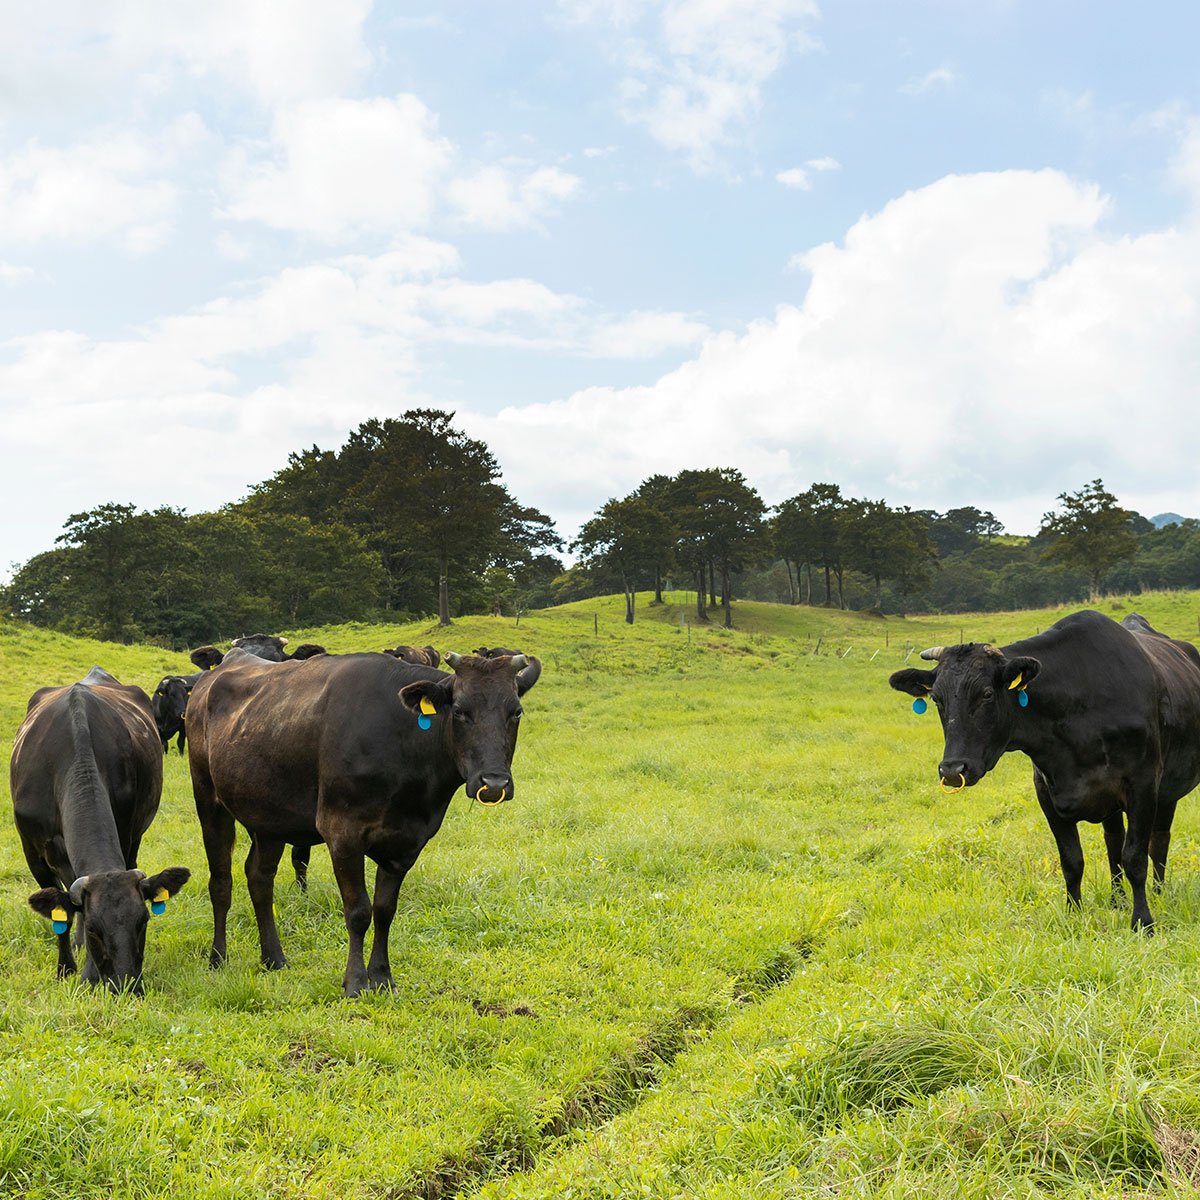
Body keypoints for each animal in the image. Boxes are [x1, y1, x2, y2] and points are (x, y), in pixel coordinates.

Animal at [10, 667, 190, 993]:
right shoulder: (32, 851)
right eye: (95, 929)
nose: (125, 985)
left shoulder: (127, 830)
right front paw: (67, 968)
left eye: (143, 921)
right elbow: (63, 915)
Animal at [888, 609, 1200, 926]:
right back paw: (1117, 900)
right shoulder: (1047, 792)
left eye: (986, 694)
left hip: (1168, 789)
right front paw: (1073, 915)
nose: (952, 770)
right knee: (1114, 841)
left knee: (1158, 840)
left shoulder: (1143, 784)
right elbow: (1072, 861)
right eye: (936, 699)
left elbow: (1135, 857)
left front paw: (1143, 921)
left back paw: (1159, 894)